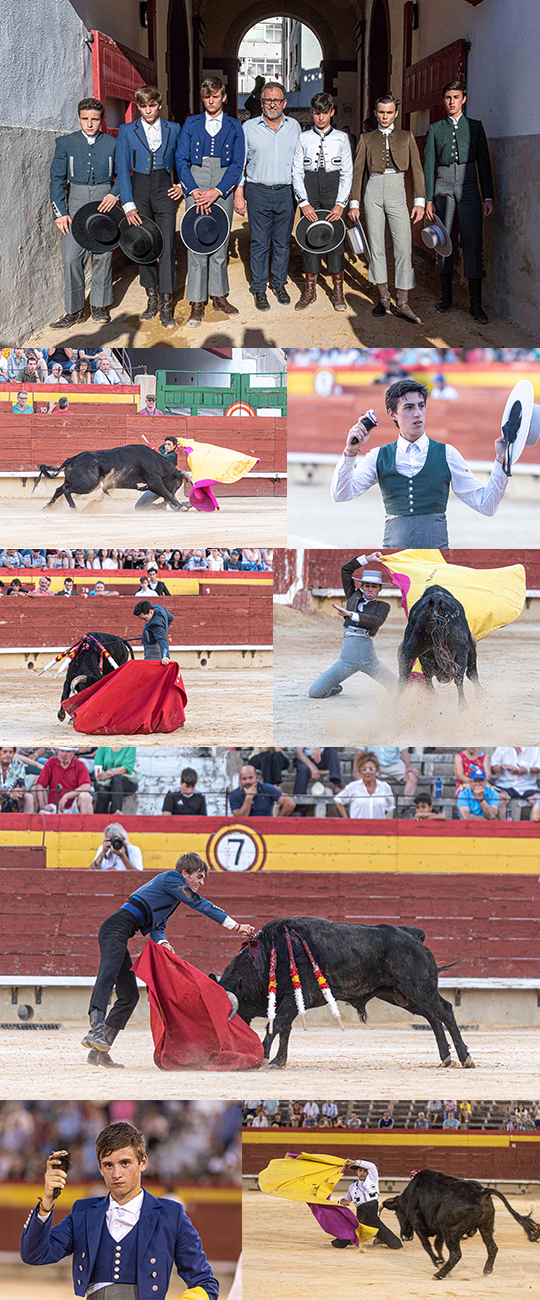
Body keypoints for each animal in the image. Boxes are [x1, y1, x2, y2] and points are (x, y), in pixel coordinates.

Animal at [33, 444, 189, 509]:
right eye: (178, 483)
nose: (175, 494)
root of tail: (72, 459)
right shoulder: (154, 481)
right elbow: (166, 492)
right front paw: (181, 506)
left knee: (60, 489)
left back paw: (48, 507)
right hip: (89, 484)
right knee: (66, 490)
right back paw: (73, 507)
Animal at [217, 915, 476, 1066]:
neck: (269, 953)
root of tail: (411, 933)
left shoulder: (294, 997)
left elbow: (277, 1025)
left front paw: (263, 1056)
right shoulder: (289, 1001)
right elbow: (285, 1029)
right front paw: (278, 1061)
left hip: (418, 987)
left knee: (445, 1010)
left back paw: (465, 1057)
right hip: (400, 994)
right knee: (433, 1016)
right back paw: (446, 1057)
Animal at [382, 1170, 538, 1279]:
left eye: (397, 1214)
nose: (404, 1237)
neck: (409, 1195)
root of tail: (481, 1192)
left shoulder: (418, 1224)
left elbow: (427, 1245)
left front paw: (438, 1262)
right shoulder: (440, 1229)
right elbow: (438, 1245)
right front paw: (441, 1260)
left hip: (451, 1230)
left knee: (456, 1253)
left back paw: (440, 1274)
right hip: (485, 1225)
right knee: (492, 1247)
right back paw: (486, 1270)